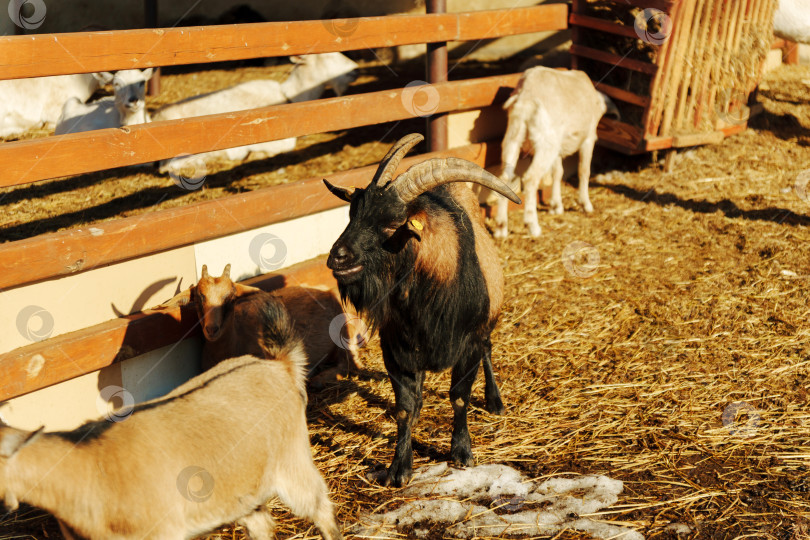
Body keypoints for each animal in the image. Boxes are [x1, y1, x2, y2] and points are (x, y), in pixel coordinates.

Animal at [0, 299, 342, 540]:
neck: (89, 467)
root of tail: (277, 365)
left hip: (292, 462)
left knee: (320, 507)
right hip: (244, 486)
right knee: (262, 524)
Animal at [323, 133, 521, 486]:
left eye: (392, 225)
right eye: (352, 215)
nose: (338, 258)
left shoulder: (468, 344)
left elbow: (459, 397)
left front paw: (461, 453)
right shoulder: (396, 349)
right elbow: (405, 408)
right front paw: (399, 468)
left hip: (486, 323)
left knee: (488, 347)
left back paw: (495, 400)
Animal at [494, 66, 615, 238]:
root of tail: (526, 97)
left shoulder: (559, 146)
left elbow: (558, 173)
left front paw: (556, 206)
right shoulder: (589, 138)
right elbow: (584, 171)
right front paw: (585, 205)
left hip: (514, 137)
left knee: (504, 178)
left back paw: (501, 228)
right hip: (545, 141)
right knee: (531, 178)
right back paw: (532, 226)